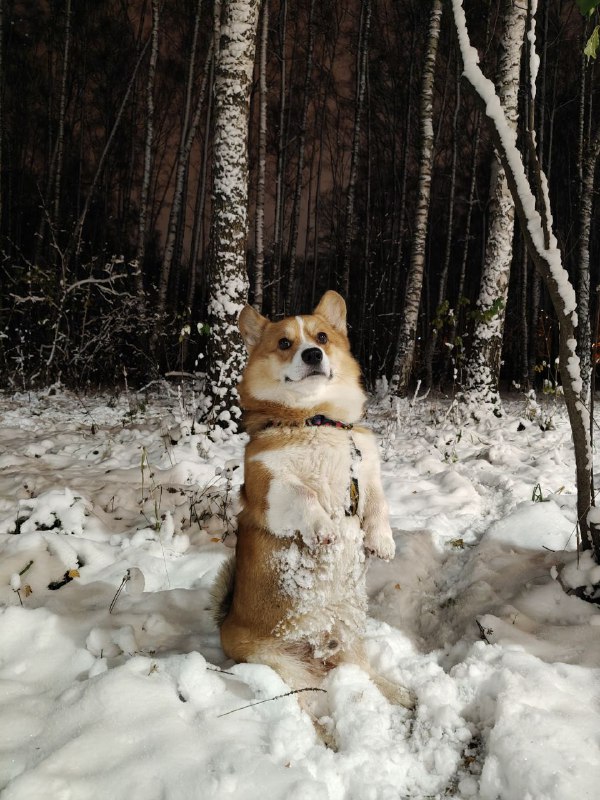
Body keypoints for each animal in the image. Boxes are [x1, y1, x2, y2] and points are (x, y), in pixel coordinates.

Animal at [213, 290, 414, 732]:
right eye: (285, 343)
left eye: (321, 337)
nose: (312, 354)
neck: (315, 419)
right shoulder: (269, 491)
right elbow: (303, 494)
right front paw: (325, 529)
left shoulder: (366, 474)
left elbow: (379, 504)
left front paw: (382, 542)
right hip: (283, 671)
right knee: (309, 711)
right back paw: (328, 737)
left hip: (349, 637)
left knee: (364, 673)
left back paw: (401, 694)